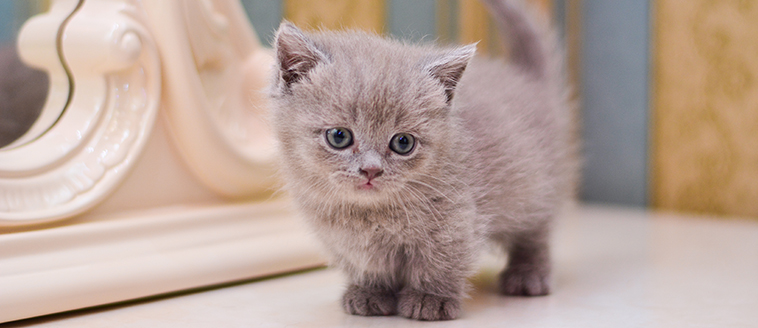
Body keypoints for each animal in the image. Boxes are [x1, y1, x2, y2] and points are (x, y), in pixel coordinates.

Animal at [270, 0, 572, 320]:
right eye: (339, 137)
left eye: (403, 143)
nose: (371, 170)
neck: (369, 214)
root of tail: (529, 80)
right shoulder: (345, 239)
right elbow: (368, 265)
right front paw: (369, 292)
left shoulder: (454, 222)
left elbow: (439, 263)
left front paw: (430, 298)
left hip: (535, 191)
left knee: (535, 234)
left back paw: (528, 276)